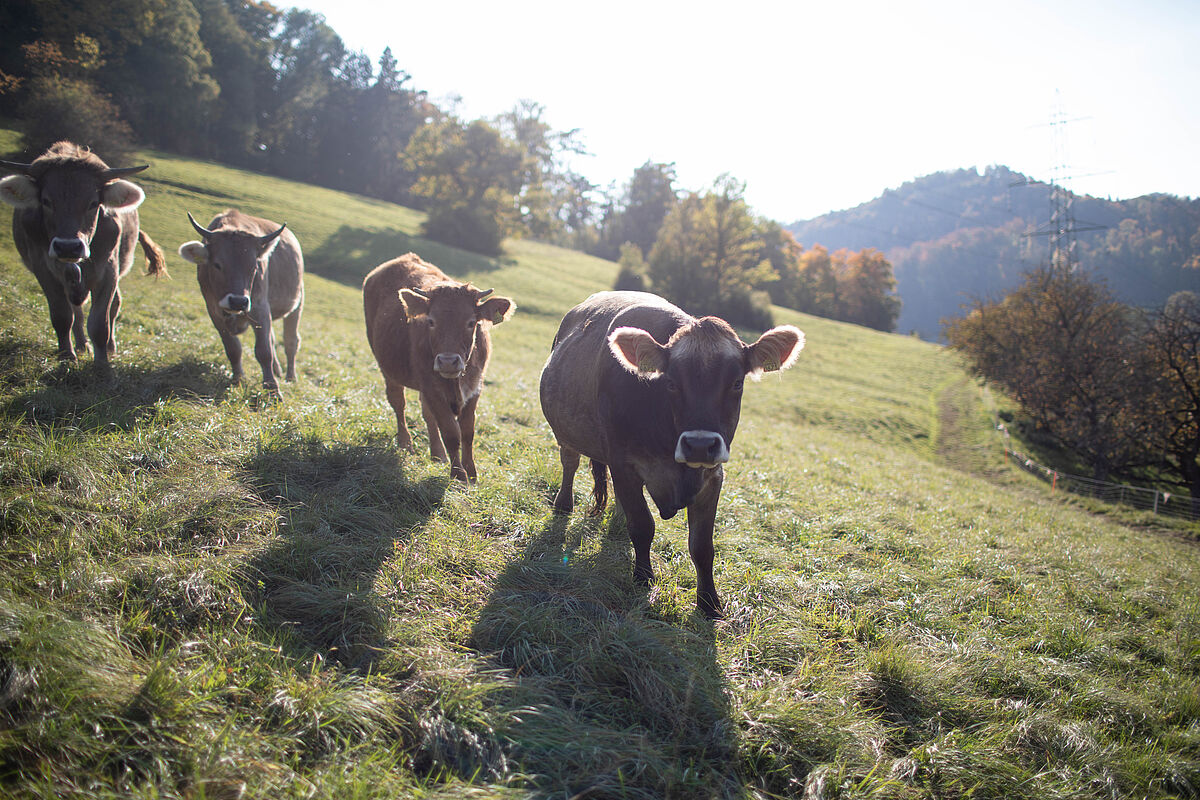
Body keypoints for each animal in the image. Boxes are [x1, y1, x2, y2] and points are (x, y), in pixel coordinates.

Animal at [0, 141, 167, 379]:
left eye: (93, 202)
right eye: (46, 201)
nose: (68, 246)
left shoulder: (108, 270)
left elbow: (100, 322)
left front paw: (102, 364)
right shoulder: (43, 269)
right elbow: (62, 316)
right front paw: (67, 357)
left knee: (113, 305)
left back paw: (109, 347)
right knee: (75, 311)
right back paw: (80, 345)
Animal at [177, 210, 304, 396]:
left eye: (254, 267)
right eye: (217, 264)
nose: (238, 301)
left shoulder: (259, 307)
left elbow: (264, 351)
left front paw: (272, 390)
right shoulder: (214, 311)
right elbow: (233, 349)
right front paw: (238, 380)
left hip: (296, 304)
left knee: (291, 341)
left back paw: (290, 377)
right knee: (273, 339)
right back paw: (277, 371)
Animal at [362, 253, 514, 482]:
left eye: (471, 322)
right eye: (431, 321)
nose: (448, 361)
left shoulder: (475, 388)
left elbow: (467, 432)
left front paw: (471, 473)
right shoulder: (432, 388)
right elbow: (451, 433)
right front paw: (458, 476)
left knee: (427, 415)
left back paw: (437, 454)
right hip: (387, 368)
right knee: (398, 402)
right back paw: (405, 443)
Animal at [539, 291, 805, 618]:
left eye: (737, 383)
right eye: (671, 383)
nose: (700, 445)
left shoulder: (713, 476)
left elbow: (702, 546)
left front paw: (709, 603)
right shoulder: (623, 464)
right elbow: (643, 525)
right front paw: (643, 578)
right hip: (565, 430)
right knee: (570, 462)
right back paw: (564, 504)